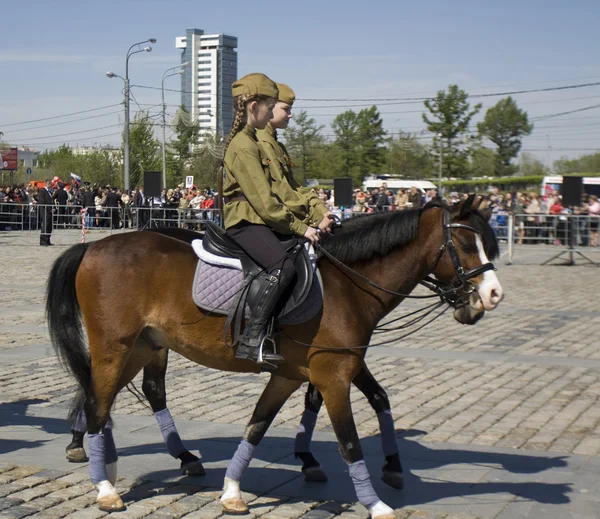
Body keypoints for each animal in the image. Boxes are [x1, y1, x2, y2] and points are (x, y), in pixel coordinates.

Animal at [48, 196, 502, 519]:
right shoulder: (333, 374)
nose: (492, 295)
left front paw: (233, 492)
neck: (346, 283)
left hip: (143, 347)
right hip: (116, 347)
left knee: (107, 398)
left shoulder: (298, 373)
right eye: (465, 244)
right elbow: (349, 441)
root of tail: (94, 248)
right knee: (100, 401)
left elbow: (258, 426)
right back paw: (105, 487)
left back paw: (115, 465)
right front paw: (376, 504)